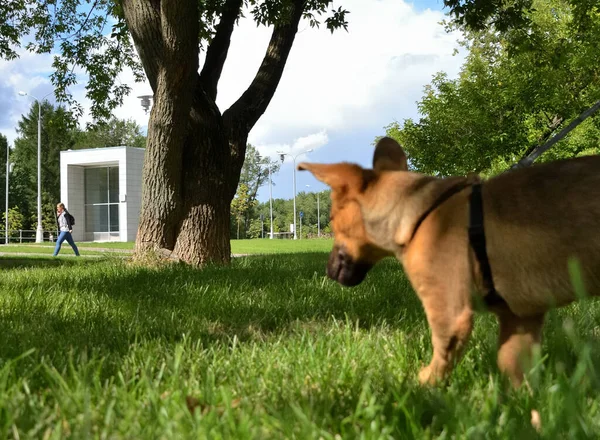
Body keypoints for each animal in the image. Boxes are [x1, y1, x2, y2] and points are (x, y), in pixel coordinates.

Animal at [298, 138, 600, 388]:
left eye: (332, 220)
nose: (327, 271)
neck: (417, 215)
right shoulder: (520, 317)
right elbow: (512, 364)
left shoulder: (449, 313)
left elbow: (440, 359)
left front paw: (415, 387)